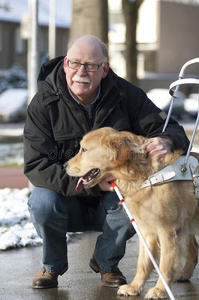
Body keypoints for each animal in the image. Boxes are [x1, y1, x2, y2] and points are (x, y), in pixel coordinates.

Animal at [65, 127, 199, 300]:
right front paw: (135, 287)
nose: (64, 165)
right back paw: (184, 274)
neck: (146, 175)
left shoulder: (168, 231)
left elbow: (165, 265)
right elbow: (142, 264)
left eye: (84, 150)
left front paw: (160, 290)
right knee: (194, 248)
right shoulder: (147, 231)